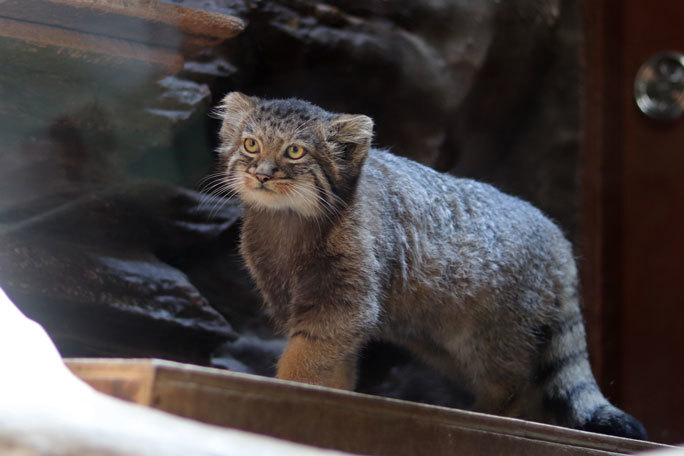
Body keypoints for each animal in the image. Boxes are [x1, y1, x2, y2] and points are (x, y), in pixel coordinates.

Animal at [218, 91, 648, 438]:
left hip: (492, 334)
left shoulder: (342, 303)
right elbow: (336, 364)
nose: (261, 174)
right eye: (251, 144)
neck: (289, 224)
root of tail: (557, 236)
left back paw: (486, 416)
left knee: (515, 382)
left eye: (295, 151)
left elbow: (306, 356)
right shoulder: (313, 307)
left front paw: (287, 388)